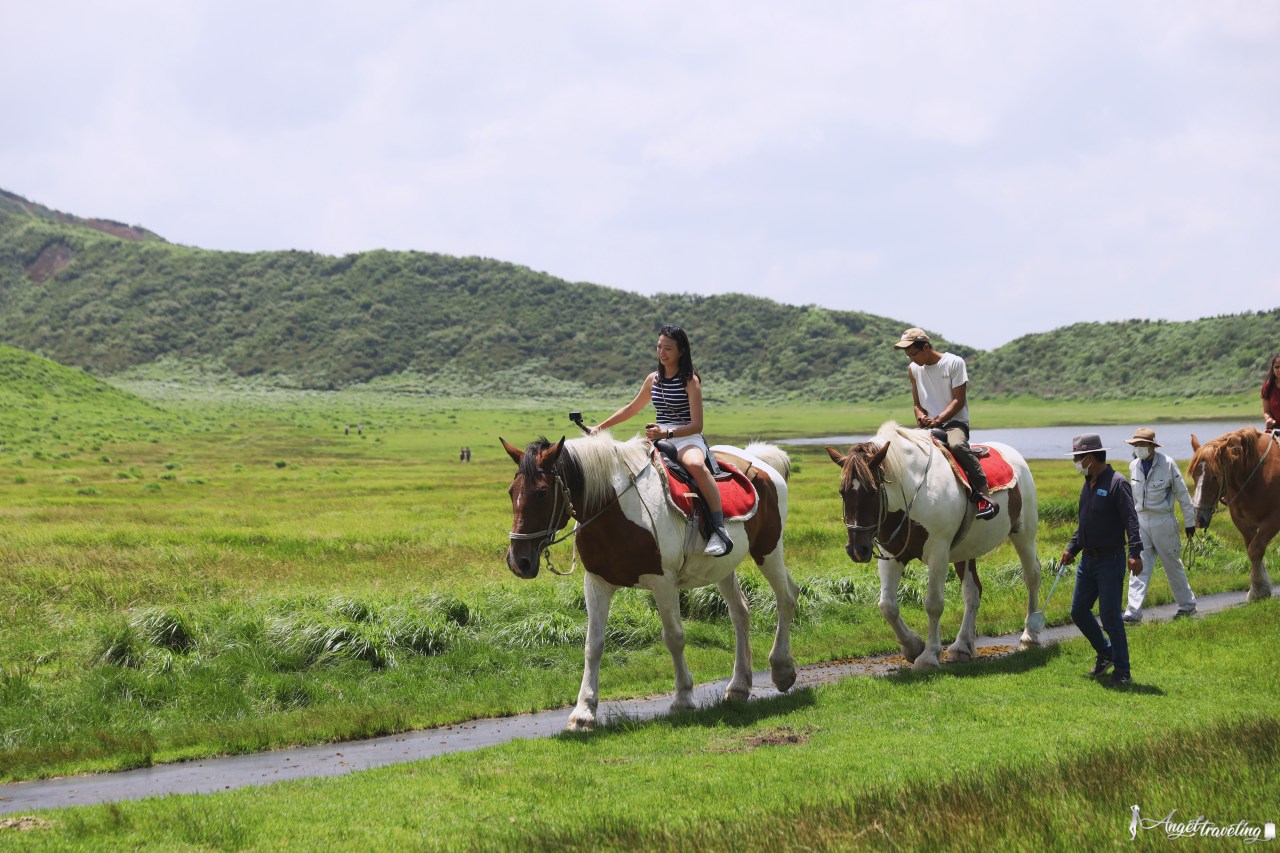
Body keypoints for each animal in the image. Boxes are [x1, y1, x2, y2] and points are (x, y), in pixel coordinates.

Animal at [501, 432, 793, 732]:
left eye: (542, 493)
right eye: (511, 491)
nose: (519, 561)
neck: (616, 510)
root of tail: (759, 462)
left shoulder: (663, 583)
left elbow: (674, 638)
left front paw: (683, 699)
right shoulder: (596, 584)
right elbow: (593, 645)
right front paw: (583, 712)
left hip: (768, 551)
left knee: (786, 599)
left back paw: (782, 669)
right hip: (723, 567)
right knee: (740, 613)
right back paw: (739, 686)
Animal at [824, 422, 1044, 666]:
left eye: (872, 491)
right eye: (842, 492)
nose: (856, 550)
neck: (913, 491)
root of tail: (1014, 456)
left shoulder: (938, 553)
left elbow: (933, 604)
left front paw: (929, 656)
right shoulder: (891, 555)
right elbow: (887, 606)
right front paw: (913, 646)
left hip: (1023, 534)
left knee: (1032, 577)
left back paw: (1029, 637)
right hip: (966, 551)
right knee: (972, 592)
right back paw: (962, 645)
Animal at [1182, 425, 1274, 596]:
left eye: (1215, 477)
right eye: (1194, 476)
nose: (1198, 519)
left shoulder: (1273, 518)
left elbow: (1256, 549)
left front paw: (1258, 590)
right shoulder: (1243, 522)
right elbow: (1252, 550)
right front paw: (1261, 588)